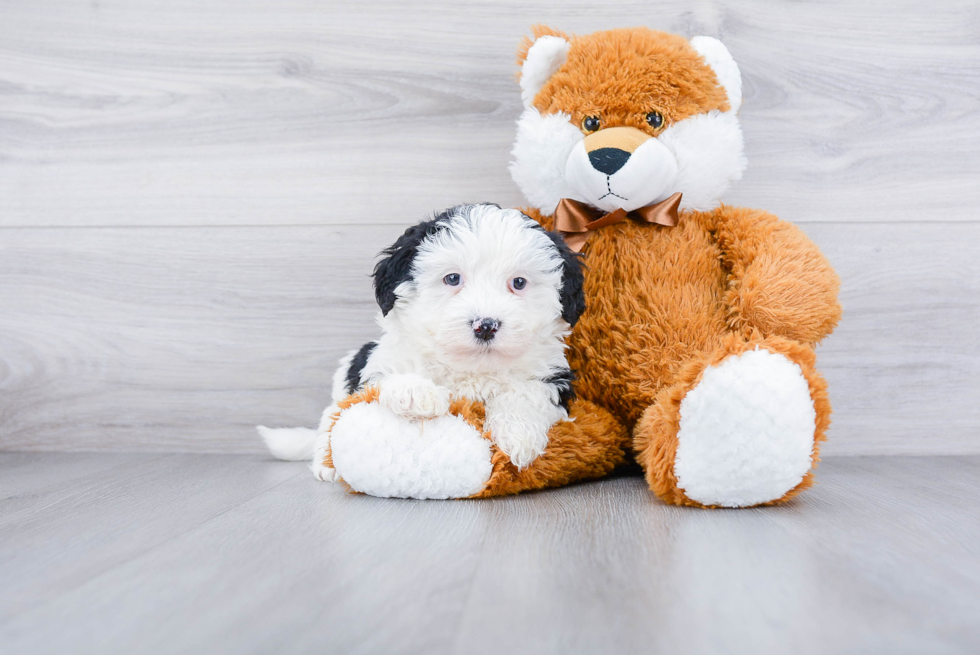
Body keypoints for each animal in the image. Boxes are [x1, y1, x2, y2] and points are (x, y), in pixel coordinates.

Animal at [258, 204, 580, 486]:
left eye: (519, 283)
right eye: (452, 278)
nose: (486, 325)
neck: (471, 367)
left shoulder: (552, 376)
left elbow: (527, 392)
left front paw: (517, 434)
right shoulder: (381, 362)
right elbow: (391, 377)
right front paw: (416, 393)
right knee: (330, 418)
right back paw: (327, 466)